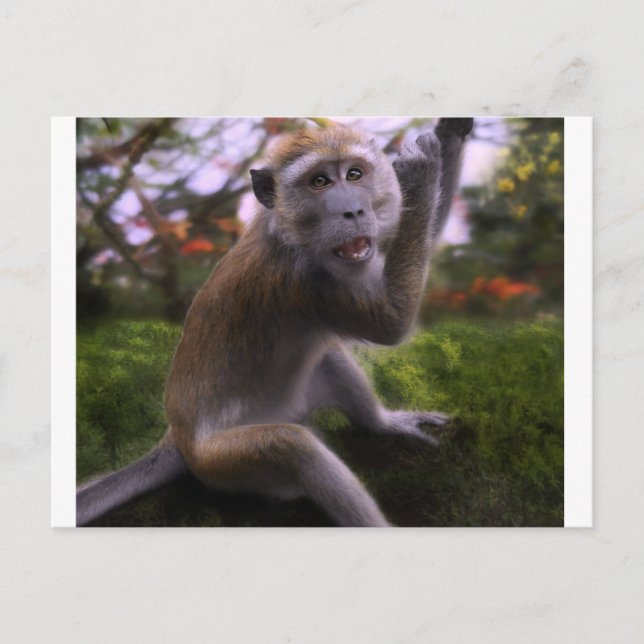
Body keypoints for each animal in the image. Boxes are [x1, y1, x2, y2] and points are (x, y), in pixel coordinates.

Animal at [76, 117, 474, 527]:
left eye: (355, 174)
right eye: (320, 181)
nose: (353, 211)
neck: (288, 233)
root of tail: (179, 438)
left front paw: (450, 134)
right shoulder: (308, 282)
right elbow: (391, 324)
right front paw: (422, 168)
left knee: (327, 355)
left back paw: (381, 423)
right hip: (223, 463)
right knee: (292, 447)